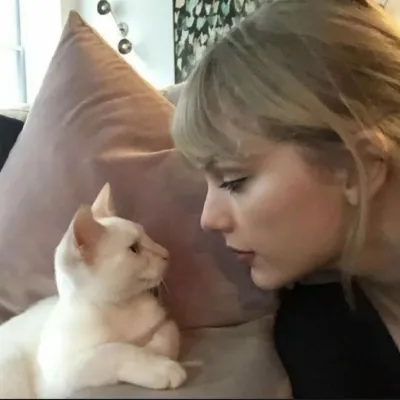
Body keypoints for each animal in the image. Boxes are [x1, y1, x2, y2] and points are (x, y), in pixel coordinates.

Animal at [0, 183, 187, 398]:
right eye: (134, 248)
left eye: (147, 237)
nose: (166, 253)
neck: (121, 306)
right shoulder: (58, 374)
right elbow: (115, 351)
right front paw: (158, 367)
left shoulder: (166, 322)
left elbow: (170, 334)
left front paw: (153, 349)